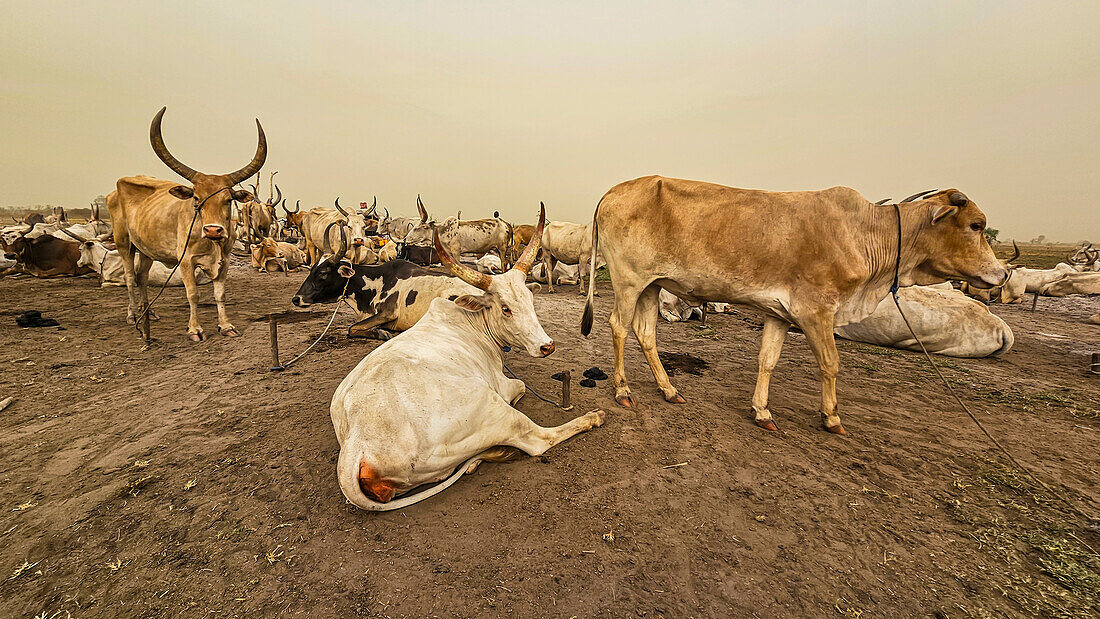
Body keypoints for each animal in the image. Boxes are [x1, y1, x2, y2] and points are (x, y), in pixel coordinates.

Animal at [105, 105, 268, 338]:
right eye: (196, 199)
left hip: (146, 249)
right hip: (123, 243)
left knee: (141, 276)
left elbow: (220, 294)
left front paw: (226, 326)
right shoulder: (186, 261)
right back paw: (133, 315)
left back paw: (148, 312)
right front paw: (194, 329)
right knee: (129, 277)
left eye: (228, 200)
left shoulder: (225, 261)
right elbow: (193, 294)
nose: (213, 230)